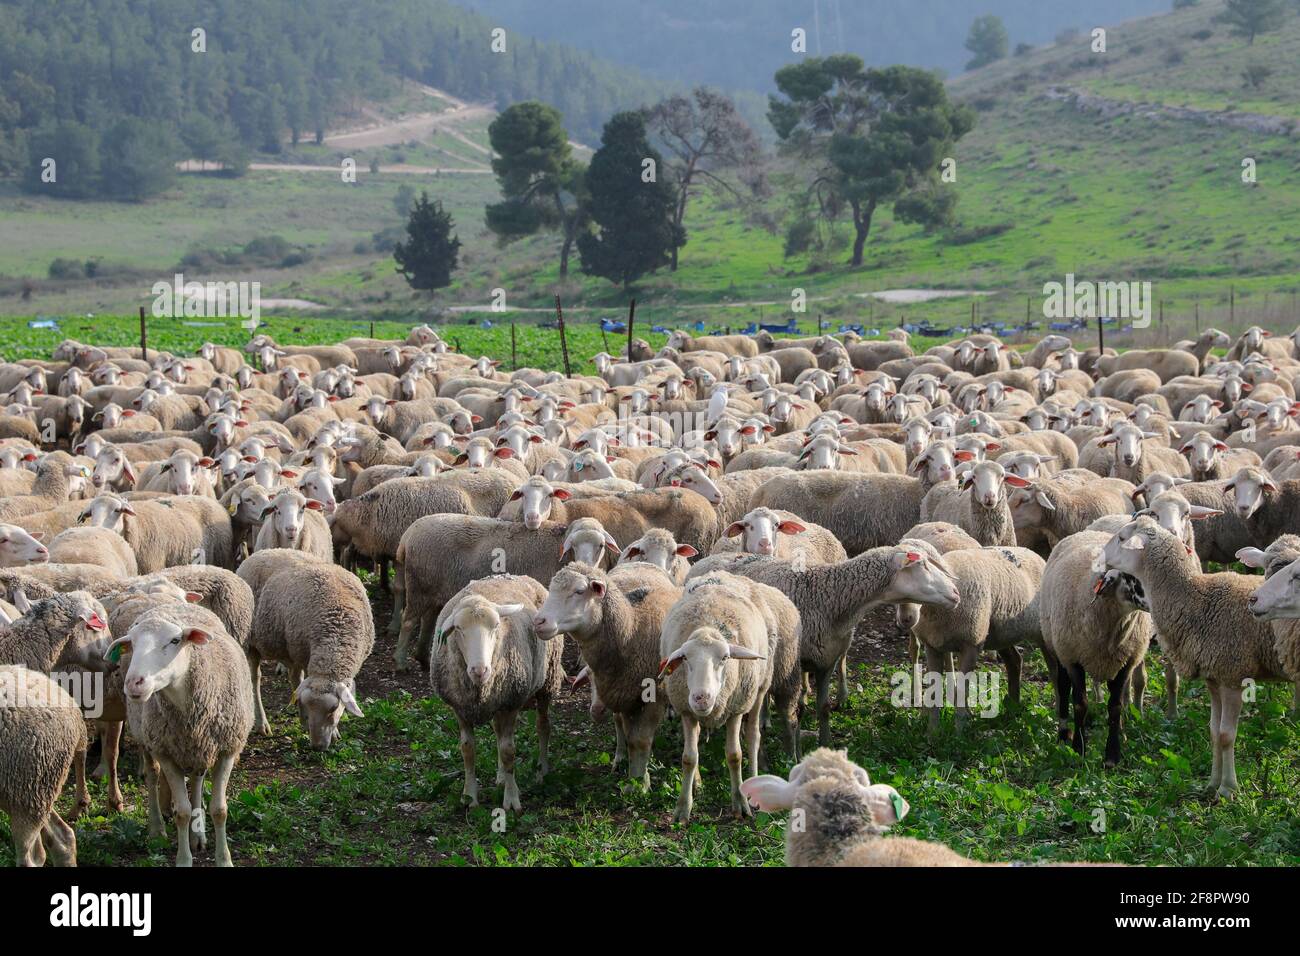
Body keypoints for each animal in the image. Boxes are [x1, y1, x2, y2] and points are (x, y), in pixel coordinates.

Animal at [246, 562, 374, 749]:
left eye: (333, 709)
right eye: (308, 706)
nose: (317, 747)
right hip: (252, 643)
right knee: (255, 679)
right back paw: (262, 723)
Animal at [430, 575, 562, 811]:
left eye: (496, 626)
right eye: (458, 629)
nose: (480, 670)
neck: (479, 690)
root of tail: (520, 576)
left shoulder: (511, 704)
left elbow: (508, 751)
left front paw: (511, 800)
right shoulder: (460, 708)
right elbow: (467, 749)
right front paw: (470, 796)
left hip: (547, 681)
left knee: (543, 726)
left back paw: (542, 771)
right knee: (499, 732)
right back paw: (501, 777)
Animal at [532, 562, 681, 784]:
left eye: (579, 591)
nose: (538, 622)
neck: (631, 629)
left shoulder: (652, 696)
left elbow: (641, 740)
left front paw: (640, 783)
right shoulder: (626, 696)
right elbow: (632, 740)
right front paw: (635, 776)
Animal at [1038, 531, 1152, 766]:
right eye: (1132, 576)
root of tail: (1087, 531)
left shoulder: (1126, 661)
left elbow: (1116, 706)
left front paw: (1112, 755)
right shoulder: (1073, 659)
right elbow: (1080, 703)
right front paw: (1078, 748)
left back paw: (1121, 732)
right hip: (1059, 647)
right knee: (1063, 687)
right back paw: (1063, 734)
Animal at [1101, 517, 1289, 798]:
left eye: (1122, 538)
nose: (1101, 554)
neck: (1196, 597)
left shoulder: (1233, 675)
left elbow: (1226, 736)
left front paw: (1228, 789)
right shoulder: (1214, 678)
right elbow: (1213, 732)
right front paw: (1212, 784)